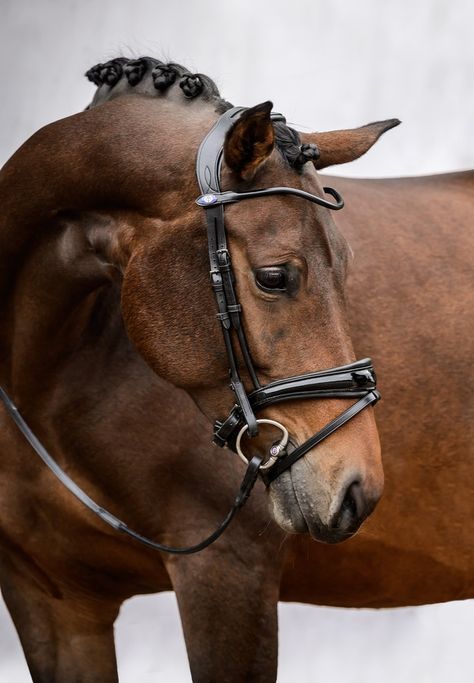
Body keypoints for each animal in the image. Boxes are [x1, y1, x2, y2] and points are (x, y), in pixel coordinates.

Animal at [0, 56, 472, 680]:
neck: (50, 379)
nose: (359, 490)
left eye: (347, 267)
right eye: (273, 277)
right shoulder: (51, 598)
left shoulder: (229, 570)